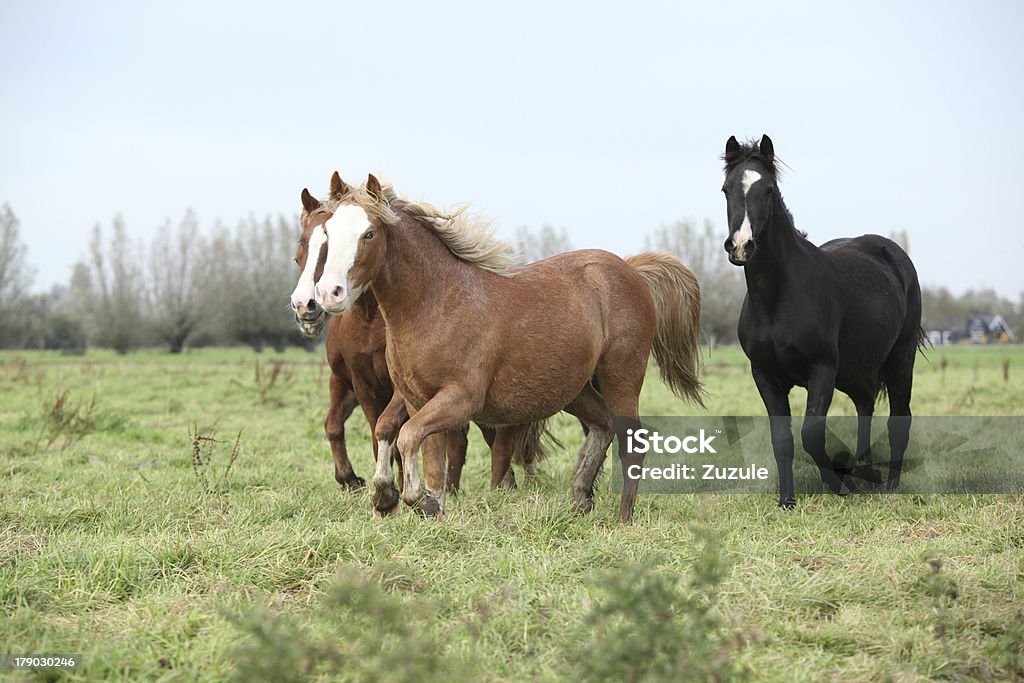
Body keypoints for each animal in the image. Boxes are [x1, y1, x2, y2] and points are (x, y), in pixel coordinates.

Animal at [315, 172, 700, 524]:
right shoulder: (416, 400)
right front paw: (400, 500)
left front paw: (414, 501)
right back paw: (580, 498)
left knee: (631, 441)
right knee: (602, 426)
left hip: (621, 376)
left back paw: (622, 519)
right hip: (573, 389)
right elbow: (406, 444)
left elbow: (408, 438)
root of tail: (631, 269)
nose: (329, 293)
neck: (435, 303)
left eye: (369, 234)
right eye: (328, 233)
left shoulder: (460, 399)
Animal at [720, 135, 929, 507]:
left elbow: (811, 435)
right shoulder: (766, 377)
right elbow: (782, 440)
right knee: (865, 404)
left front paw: (839, 483)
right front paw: (787, 500)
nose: (742, 246)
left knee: (898, 420)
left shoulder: (822, 371)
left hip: (899, 360)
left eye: (769, 189)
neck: (778, 298)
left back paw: (889, 484)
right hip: (855, 370)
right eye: (726, 189)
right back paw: (866, 469)